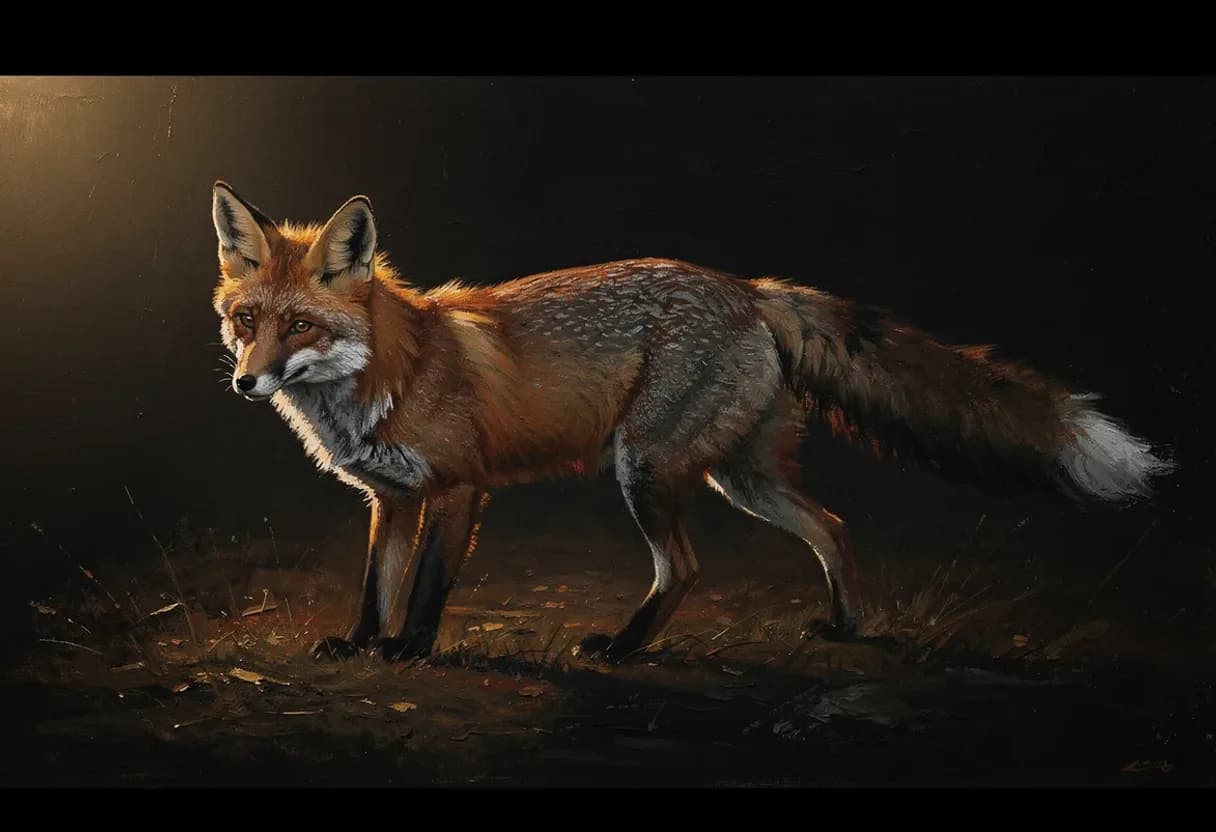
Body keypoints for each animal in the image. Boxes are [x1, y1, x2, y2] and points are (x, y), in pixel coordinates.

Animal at [210, 181, 1176, 663]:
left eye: (301, 327)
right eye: (245, 320)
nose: (246, 383)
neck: (389, 370)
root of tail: (749, 289)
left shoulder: (457, 490)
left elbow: (424, 590)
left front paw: (409, 653)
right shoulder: (391, 500)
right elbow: (374, 584)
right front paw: (357, 646)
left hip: (648, 466)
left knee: (685, 566)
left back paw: (626, 648)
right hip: (739, 475)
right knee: (832, 523)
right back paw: (846, 627)